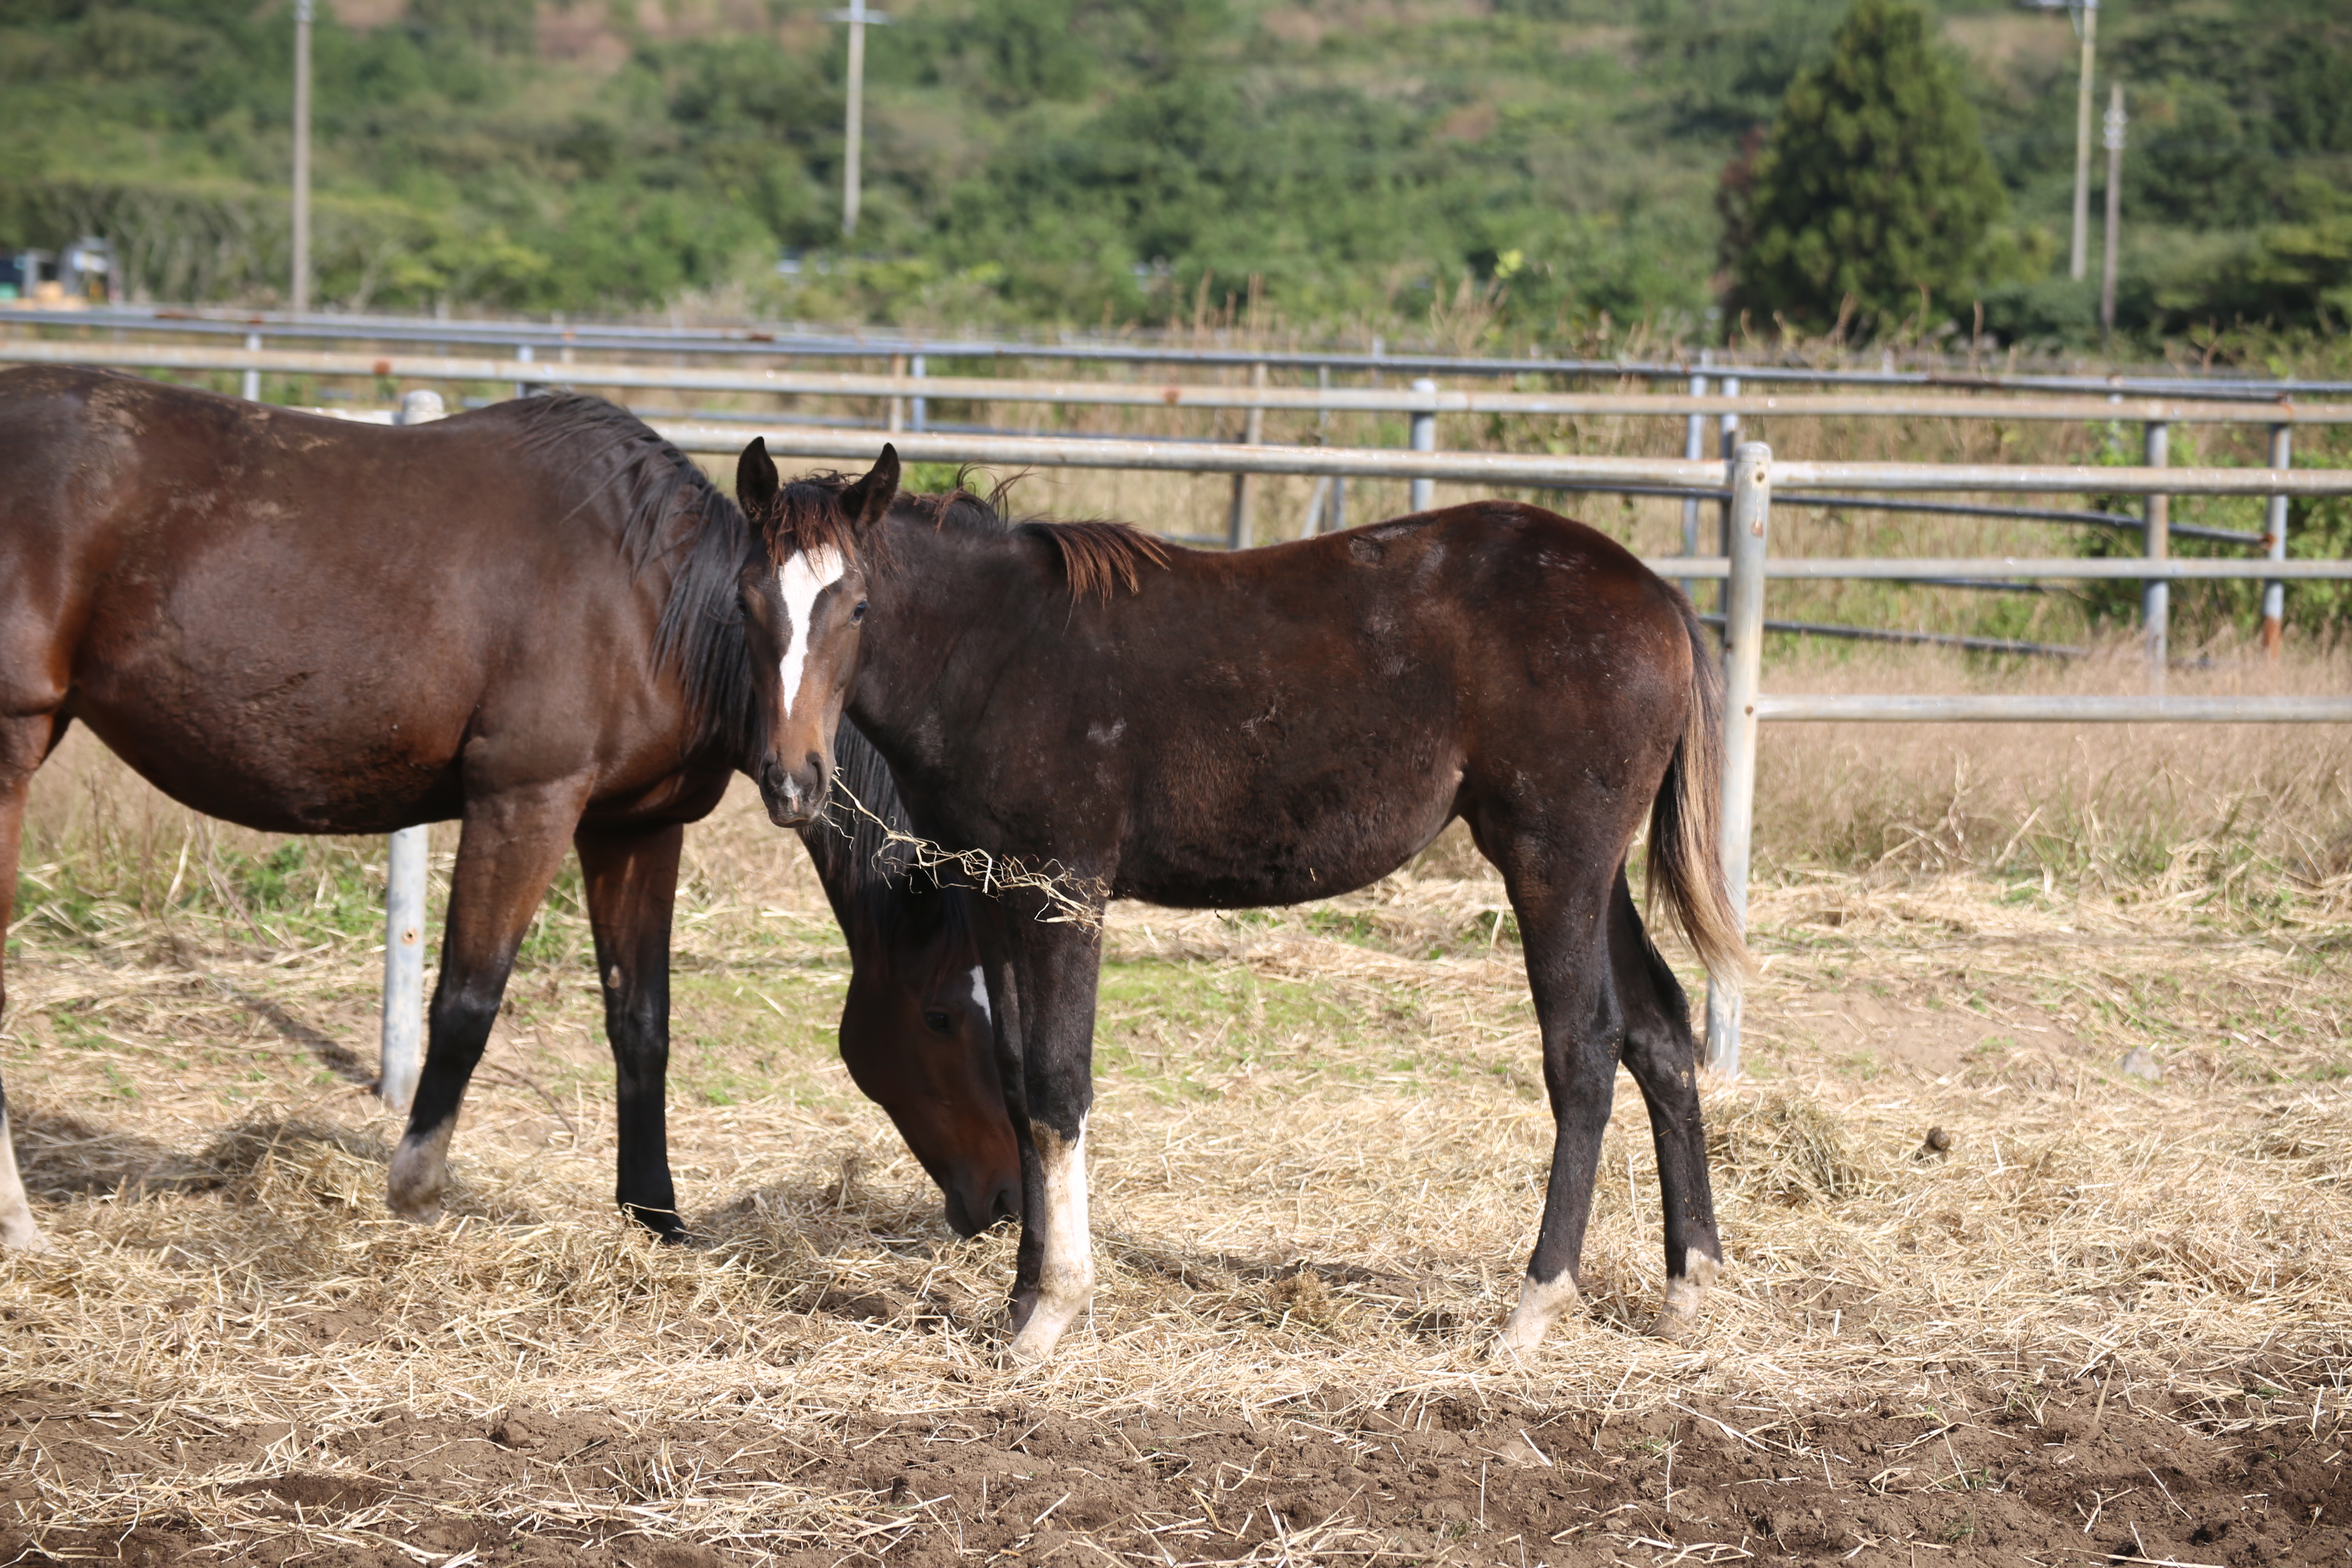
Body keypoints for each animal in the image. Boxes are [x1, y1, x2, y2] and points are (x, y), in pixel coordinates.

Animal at [0, 364, 1011, 1250]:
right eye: (941, 1018)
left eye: (860, 609)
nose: (1003, 1202)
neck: (649, 601)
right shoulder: (526, 804)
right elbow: (467, 1000)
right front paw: (414, 1189)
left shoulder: (634, 827)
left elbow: (643, 1022)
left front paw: (658, 1217)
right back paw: (20, 1226)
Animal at [771, 474, 1750, 1363]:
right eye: (755, 605)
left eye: (857, 606)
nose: (792, 780)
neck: (993, 647)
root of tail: (1657, 593)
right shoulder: (995, 891)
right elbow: (1019, 1086)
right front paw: (1020, 1301)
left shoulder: (1065, 892)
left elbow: (1057, 1088)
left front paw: (1053, 1312)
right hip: (1595, 874)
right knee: (1660, 1032)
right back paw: (1688, 1289)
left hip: (1554, 864)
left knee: (1583, 1052)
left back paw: (1533, 1310)